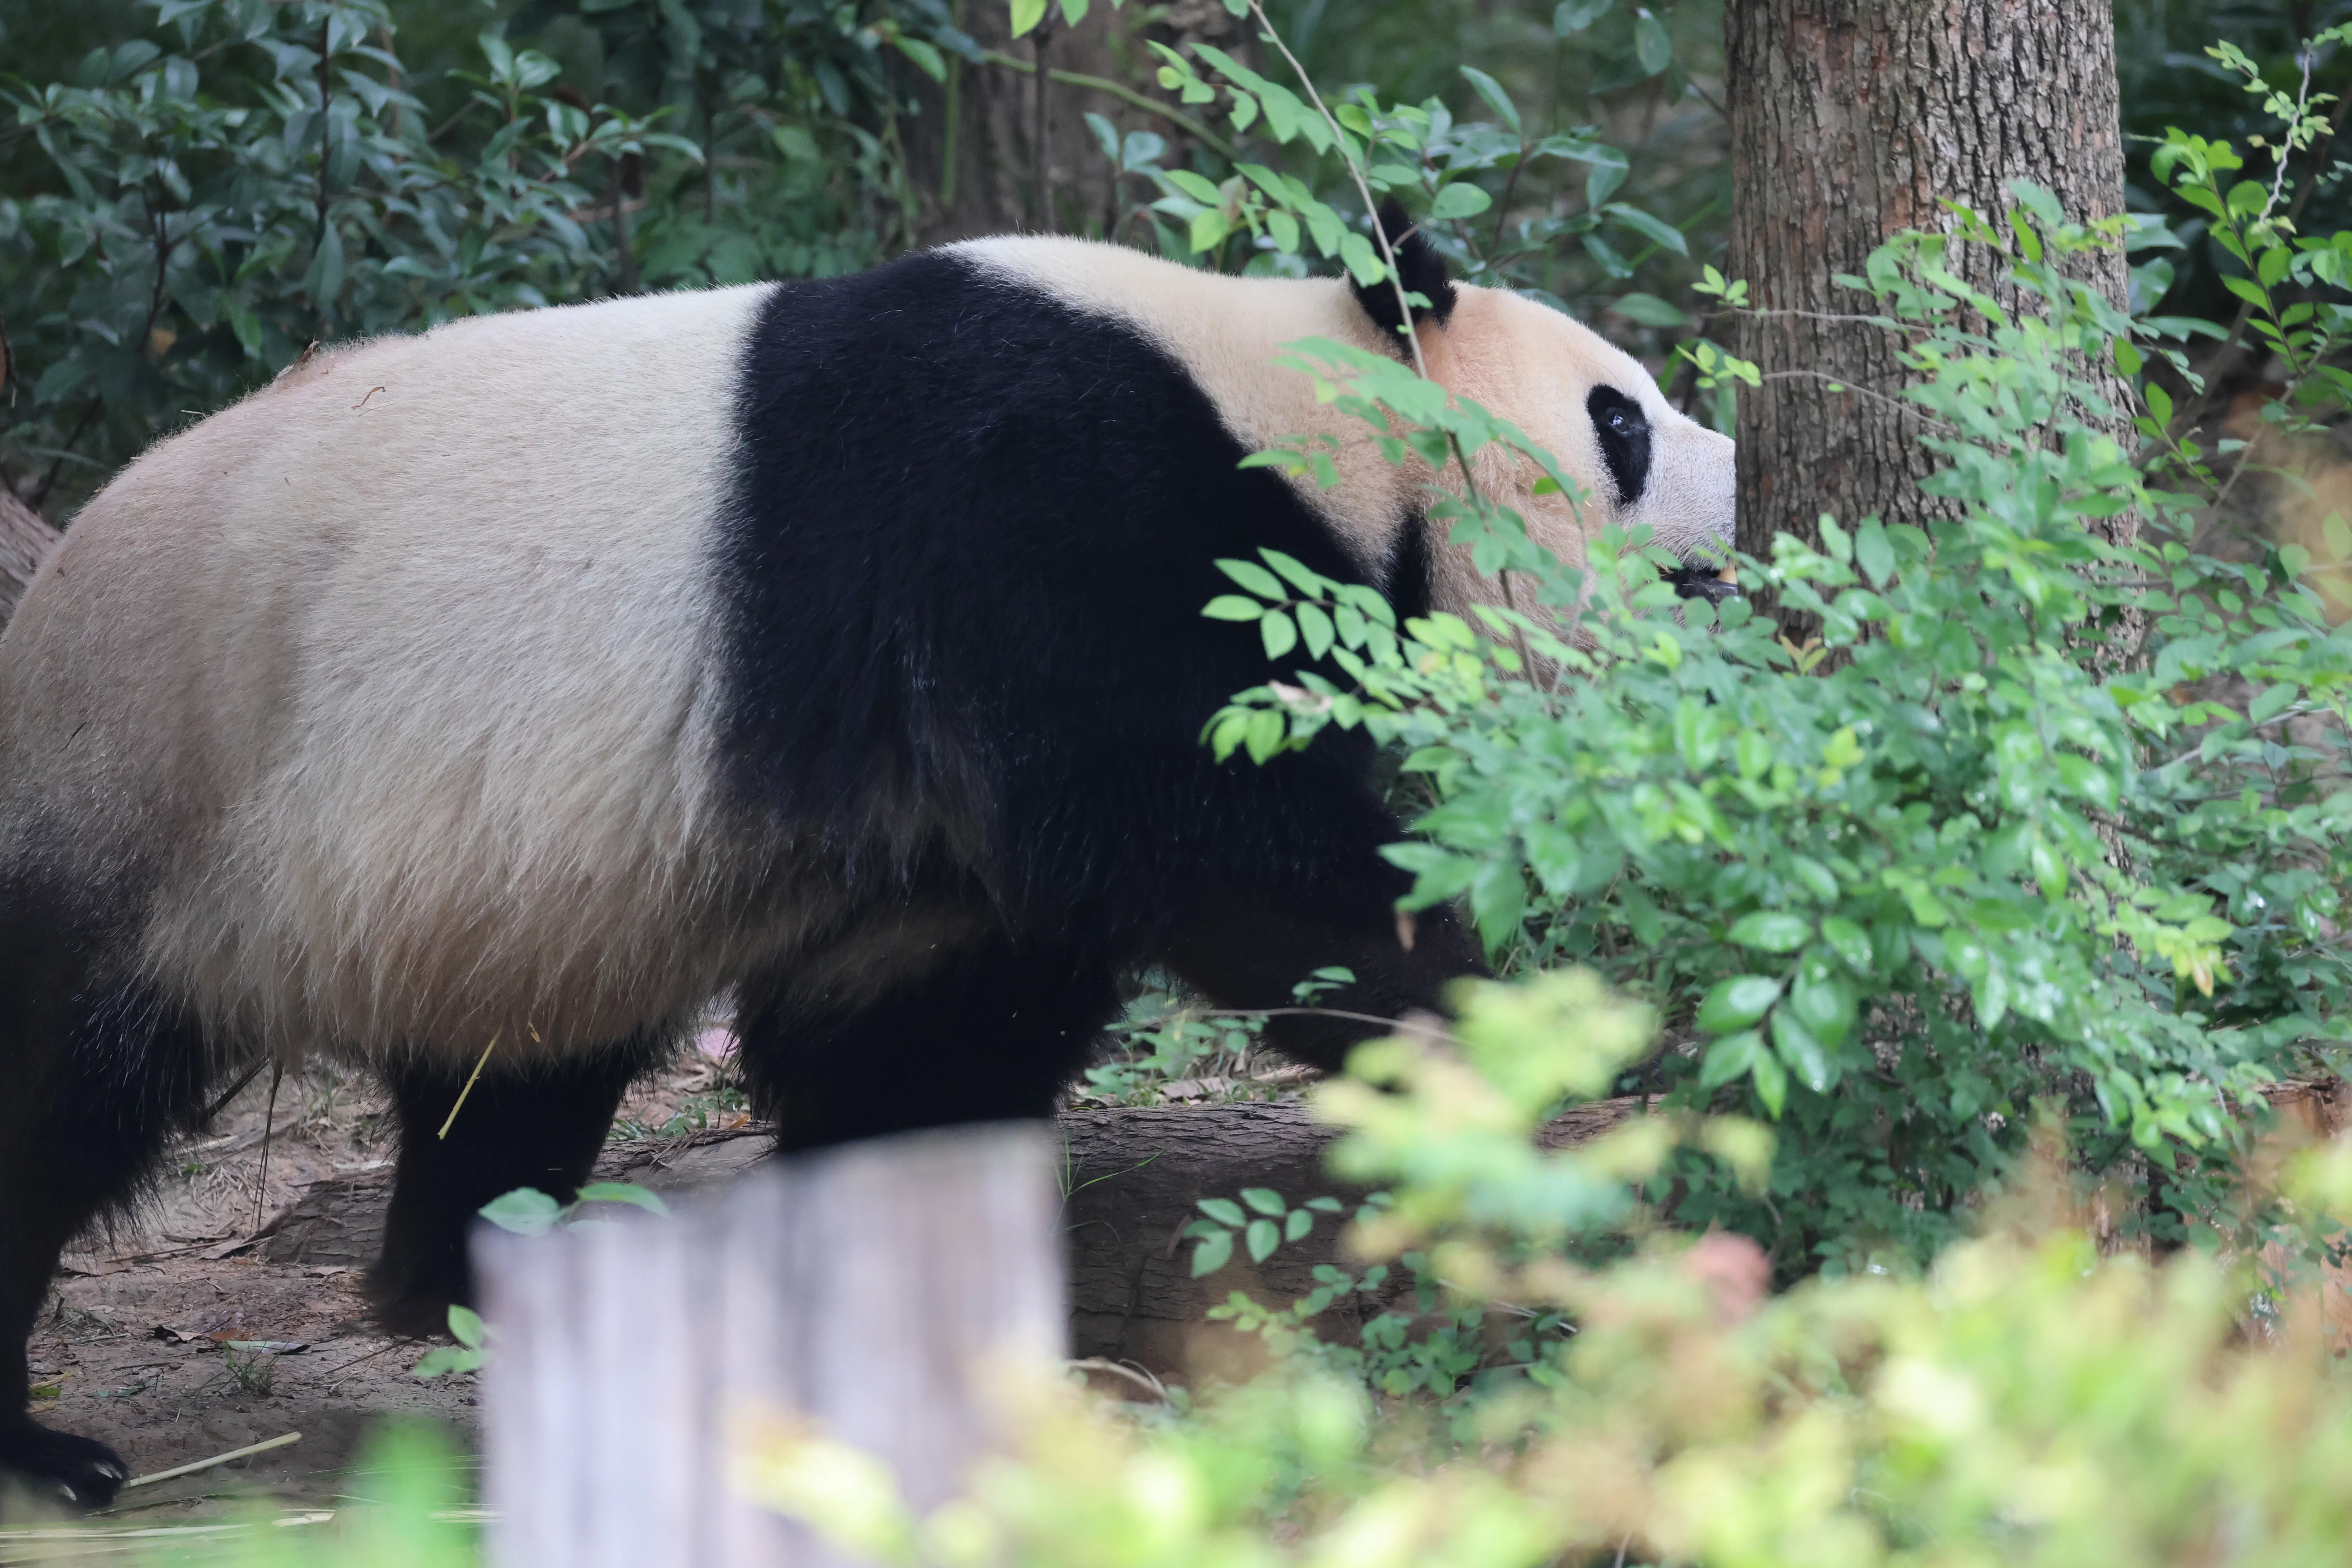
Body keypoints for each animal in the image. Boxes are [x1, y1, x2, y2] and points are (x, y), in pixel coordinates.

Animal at [0, 212, 1733, 1504]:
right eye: (1622, 418)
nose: (1739, 473)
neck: (1288, 402)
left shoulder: (927, 826)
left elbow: (926, 1025)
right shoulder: (1052, 509)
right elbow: (1232, 854)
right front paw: (1488, 1029)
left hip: (497, 885)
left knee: (512, 1079)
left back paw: (491, 1272)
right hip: (158, 803)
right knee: (56, 1092)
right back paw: (56, 1447)